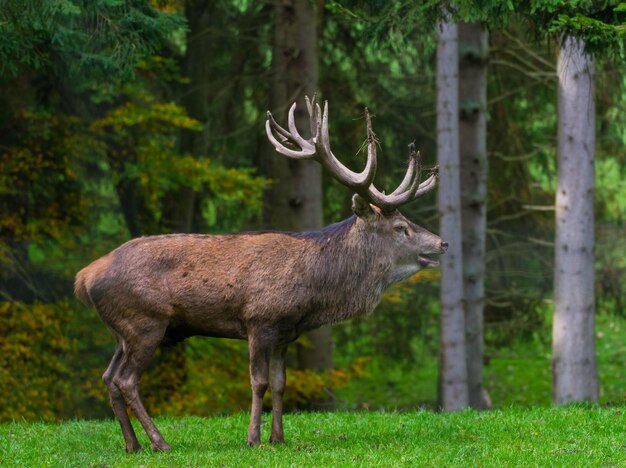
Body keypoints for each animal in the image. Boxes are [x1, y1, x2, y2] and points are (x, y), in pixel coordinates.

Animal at [74, 97, 444, 452]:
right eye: (400, 227)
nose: (443, 242)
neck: (314, 290)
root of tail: (85, 276)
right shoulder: (258, 319)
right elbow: (259, 381)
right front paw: (253, 438)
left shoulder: (285, 332)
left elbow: (280, 384)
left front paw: (278, 438)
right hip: (145, 321)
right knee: (126, 380)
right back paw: (159, 442)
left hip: (122, 331)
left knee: (108, 377)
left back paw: (132, 444)